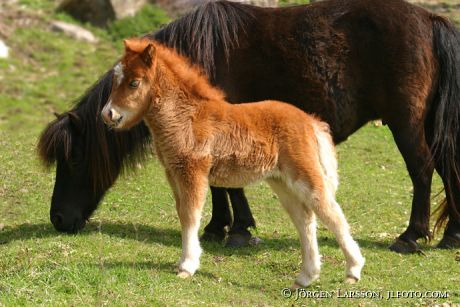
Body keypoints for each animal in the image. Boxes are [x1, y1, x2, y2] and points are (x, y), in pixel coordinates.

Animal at [39, 0, 460, 254]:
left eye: (73, 159)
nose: (57, 219)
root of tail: (429, 20)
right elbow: (221, 183)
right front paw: (219, 226)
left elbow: (227, 183)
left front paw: (237, 229)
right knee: (447, 170)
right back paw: (451, 237)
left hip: (405, 123)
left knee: (422, 171)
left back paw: (410, 237)